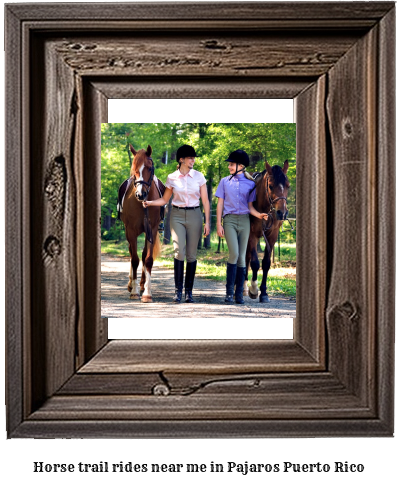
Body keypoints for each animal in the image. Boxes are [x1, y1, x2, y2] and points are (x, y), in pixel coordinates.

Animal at [122, 145, 164, 304]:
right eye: (134, 168)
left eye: (149, 167)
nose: (140, 194)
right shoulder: (131, 231)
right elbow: (134, 259)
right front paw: (133, 291)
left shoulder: (151, 229)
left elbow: (148, 259)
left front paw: (147, 293)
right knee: (131, 253)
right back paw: (131, 284)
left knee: (144, 254)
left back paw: (141, 285)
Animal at [244, 160, 290, 304]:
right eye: (270, 186)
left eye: (288, 186)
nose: (282, 213)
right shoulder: (252, 234)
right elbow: (255, 262)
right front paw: (254, 289)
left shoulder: (272, 235)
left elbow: (265, 263)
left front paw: (263, 293)